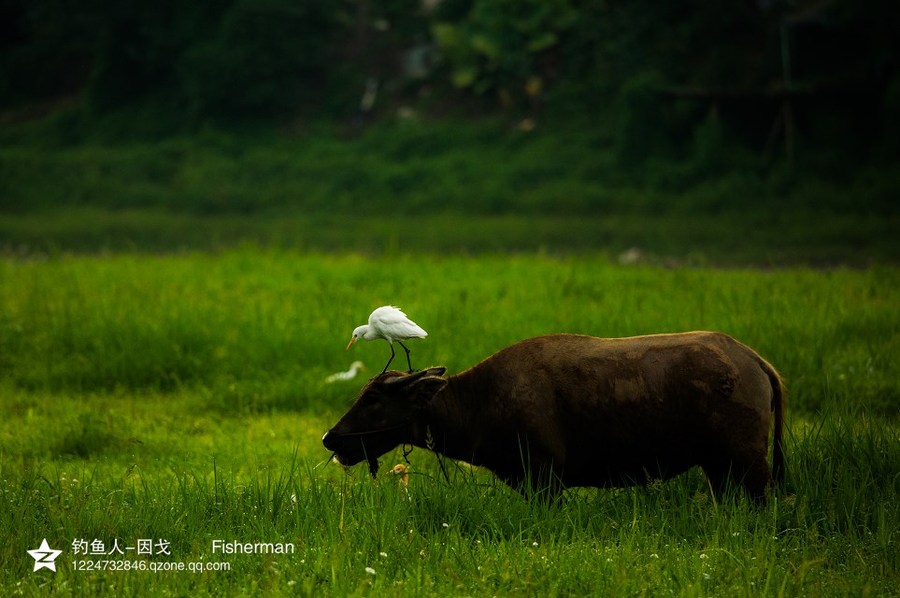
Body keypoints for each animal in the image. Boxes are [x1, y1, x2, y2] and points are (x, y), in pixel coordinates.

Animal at [320, 332, 784, 502]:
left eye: (372, 399)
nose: (331, 438)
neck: (481, 401)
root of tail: (755, 362)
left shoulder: (546, 479)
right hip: (719, 468)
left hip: (749, 465)